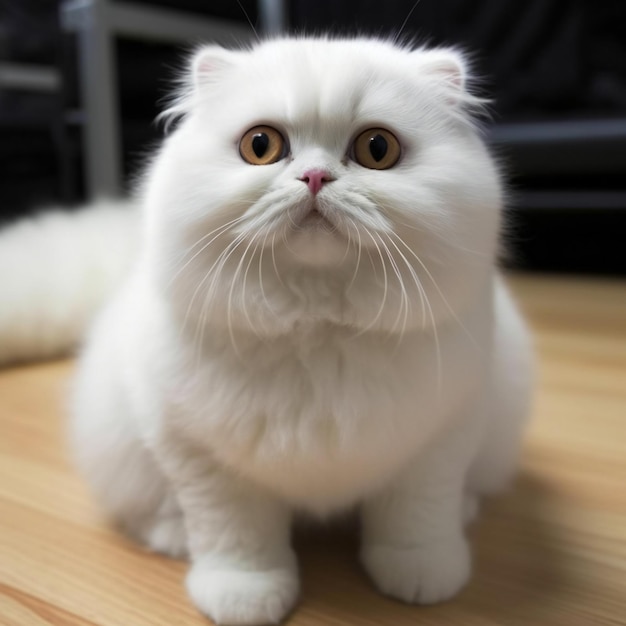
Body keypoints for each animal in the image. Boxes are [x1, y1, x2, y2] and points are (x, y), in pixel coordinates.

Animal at [0, 37, 532, 624]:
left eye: (377, 149)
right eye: (261, 145)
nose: (315, 178)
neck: (319, 334)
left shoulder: (441, 439)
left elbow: (416, 521)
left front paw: (423, 578)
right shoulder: (201, 458)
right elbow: (238, 538)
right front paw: (243, 598)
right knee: (154, 514)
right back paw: (174, 537)